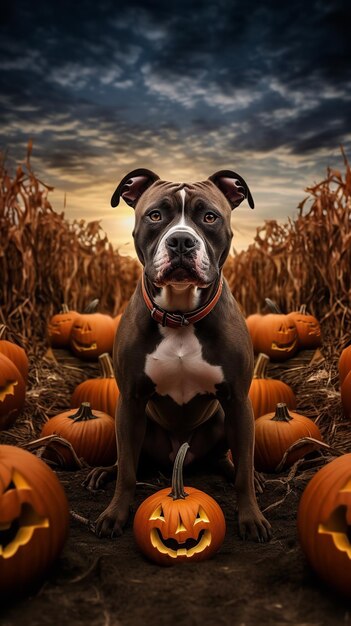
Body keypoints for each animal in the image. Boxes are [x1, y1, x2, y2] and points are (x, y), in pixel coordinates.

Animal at [87, 168, 272, 540]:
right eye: (156, 215)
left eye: (210, 217)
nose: (182, 241)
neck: (181, 314)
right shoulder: (130, 400)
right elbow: (128, 472)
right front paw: (114, 514)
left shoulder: (238, 400)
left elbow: (243, 471)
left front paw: (251, 518)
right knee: (129, 461)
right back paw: (104, 472)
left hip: (224, 418)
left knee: (231, 461)